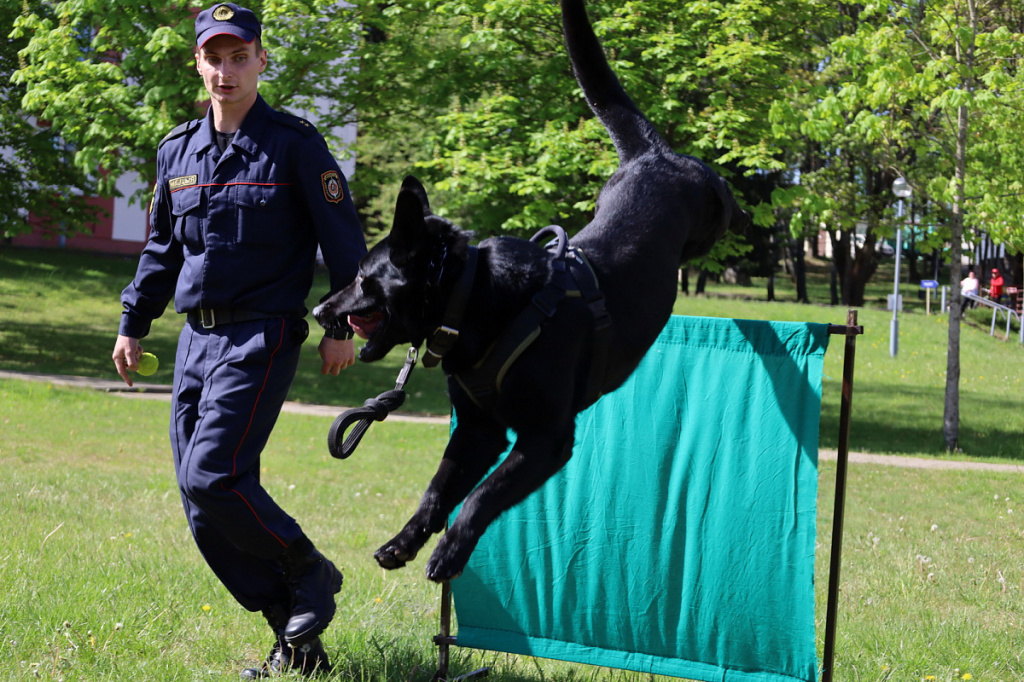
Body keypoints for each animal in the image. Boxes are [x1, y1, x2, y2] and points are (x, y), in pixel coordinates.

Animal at [314, 0, 747, 582]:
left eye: (363, 277)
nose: (319, 309)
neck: (475, 302)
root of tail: (649, 156)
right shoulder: (478, 430)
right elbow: (438, 489)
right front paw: (404, 542)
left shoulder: (545, 439)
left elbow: (481, 496)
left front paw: (450, 551)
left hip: (708, 210)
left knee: (724, 192)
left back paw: (745, 211)